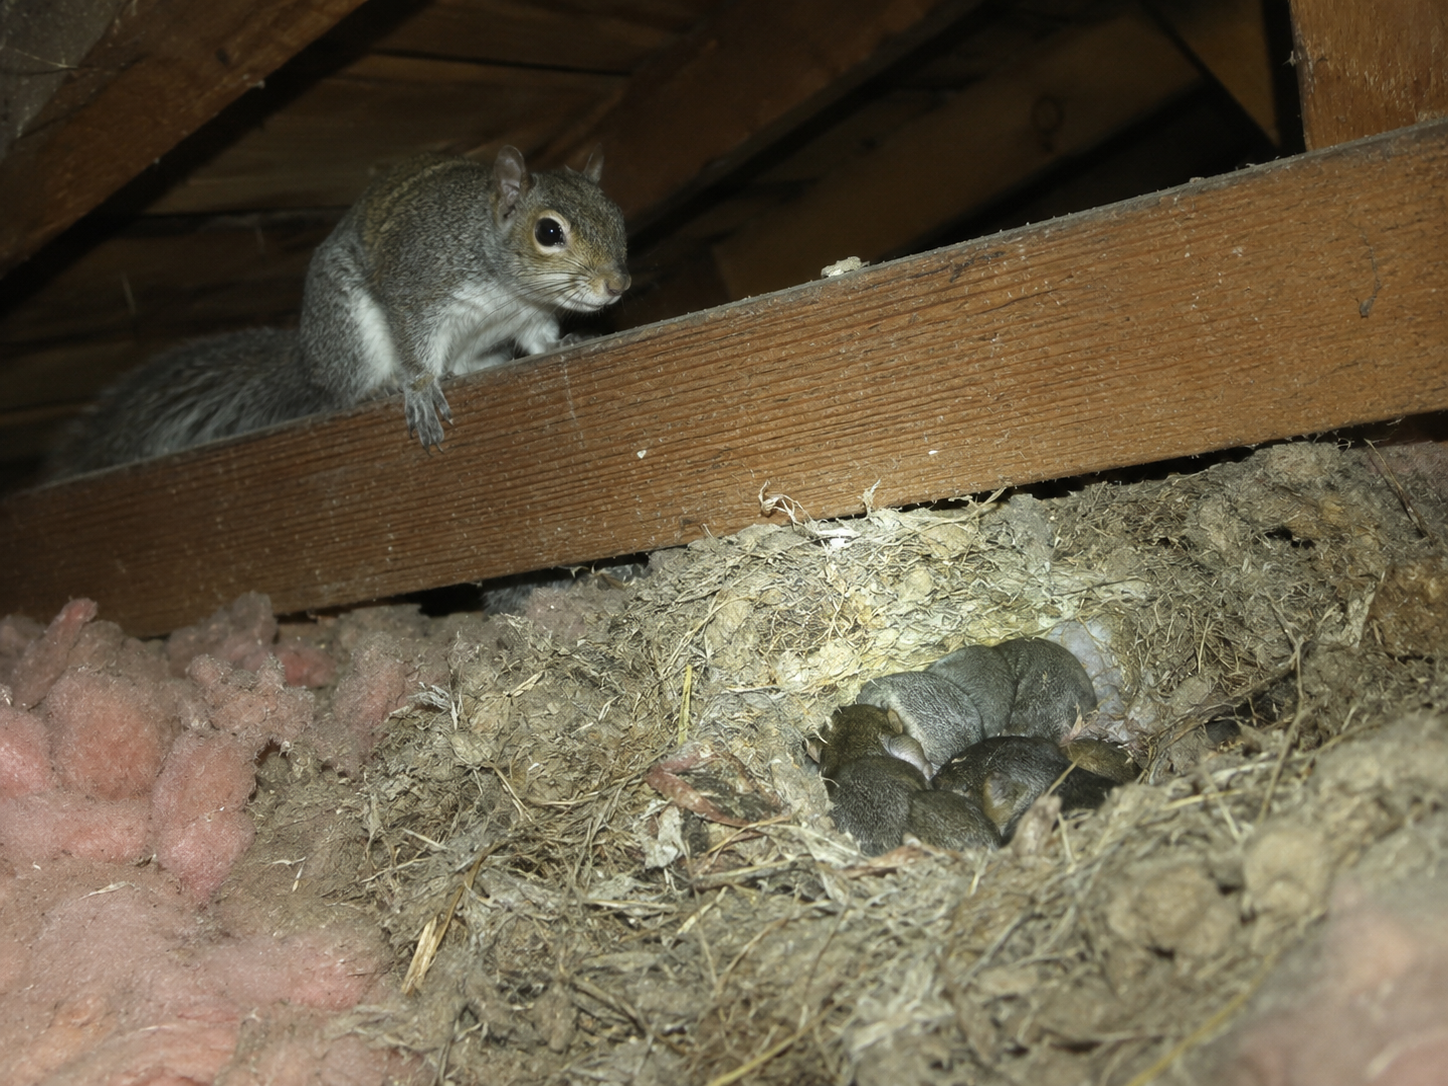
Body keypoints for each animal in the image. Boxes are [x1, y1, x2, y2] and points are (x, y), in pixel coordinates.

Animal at [45, 146, 630, 479]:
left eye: (618, 218)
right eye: (548, 231)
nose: (618, 283)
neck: (509, 288)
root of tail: (310, 362)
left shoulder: (527, 317)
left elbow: (539, 339)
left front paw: (562, 344)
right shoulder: (416, 290)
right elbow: (416, 345)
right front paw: (420, 387)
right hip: (349, 330)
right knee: (348, 388)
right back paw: (380, 387)